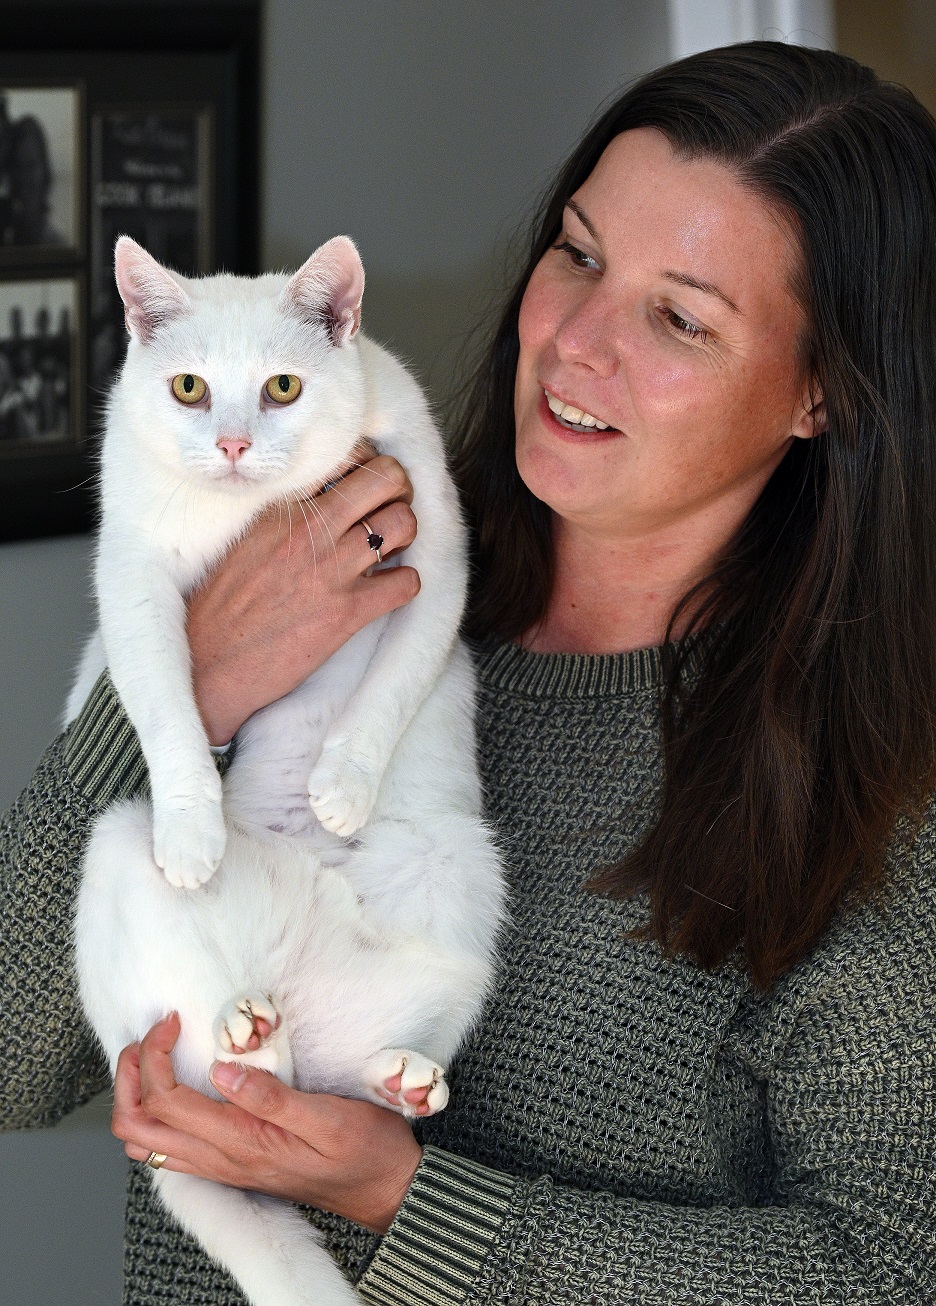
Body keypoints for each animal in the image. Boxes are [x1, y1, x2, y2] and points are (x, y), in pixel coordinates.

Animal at [68, 237, 503, 1306]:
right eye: (188, 389)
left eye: (282, 388)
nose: (230, 444)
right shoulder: (132, 581)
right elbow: (168, 709)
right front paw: (194, 830)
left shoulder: (436, 557)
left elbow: (387, 691)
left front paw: (340, 790)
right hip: (117, 865)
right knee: (216, 1055)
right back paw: (249, 1030)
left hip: (462, 879)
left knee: (341, 1091)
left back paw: (397, 1076)